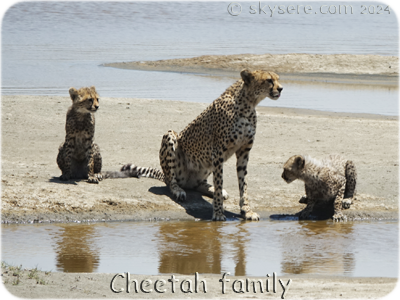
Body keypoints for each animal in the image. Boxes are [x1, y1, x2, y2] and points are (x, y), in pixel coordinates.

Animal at [121, 69, 282, 220]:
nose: (281, 88)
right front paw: (218, 213)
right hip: (171, 137)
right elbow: (219, 181)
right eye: (269, 80)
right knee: (171, 180)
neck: (249, 103)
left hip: (205, 166)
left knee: (198, 184)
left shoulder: (244, 151)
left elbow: (243, 185)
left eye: (278, 79)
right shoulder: (218, 152)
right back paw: (178, 190)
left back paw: (212, 189)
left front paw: (247, 211)